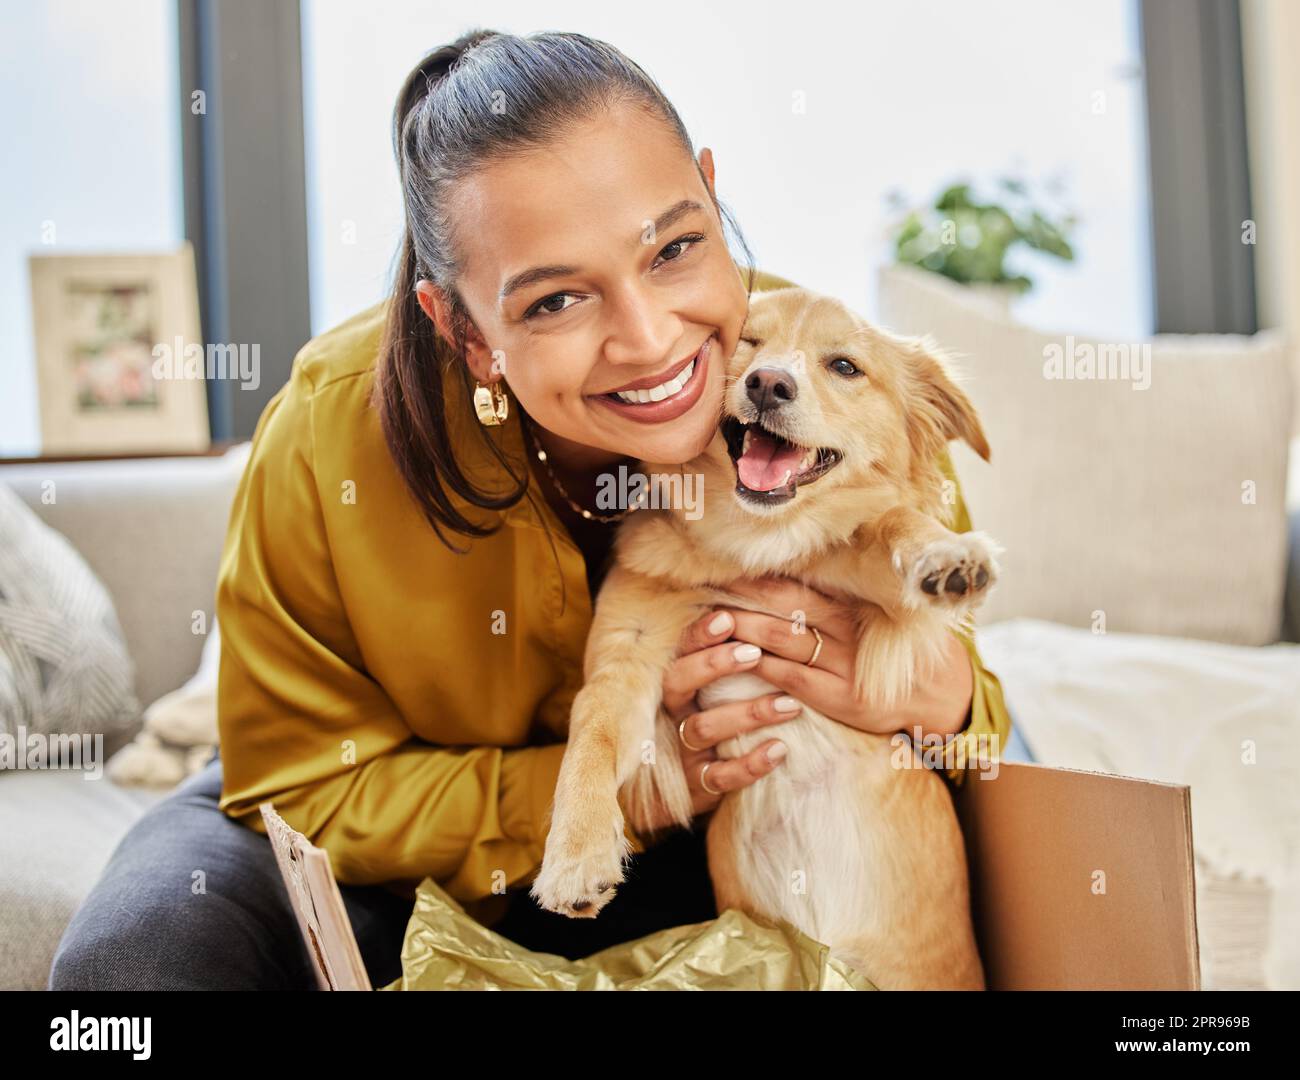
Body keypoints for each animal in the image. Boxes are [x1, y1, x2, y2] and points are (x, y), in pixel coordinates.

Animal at [533, 284, 998, 987]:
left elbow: (889, 523)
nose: (769, 383)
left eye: (845, 366)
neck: (753, 543)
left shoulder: (881, 605)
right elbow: (591, 736)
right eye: (746, 343)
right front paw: (575, 856)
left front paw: (946, 555)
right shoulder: (624, 659)